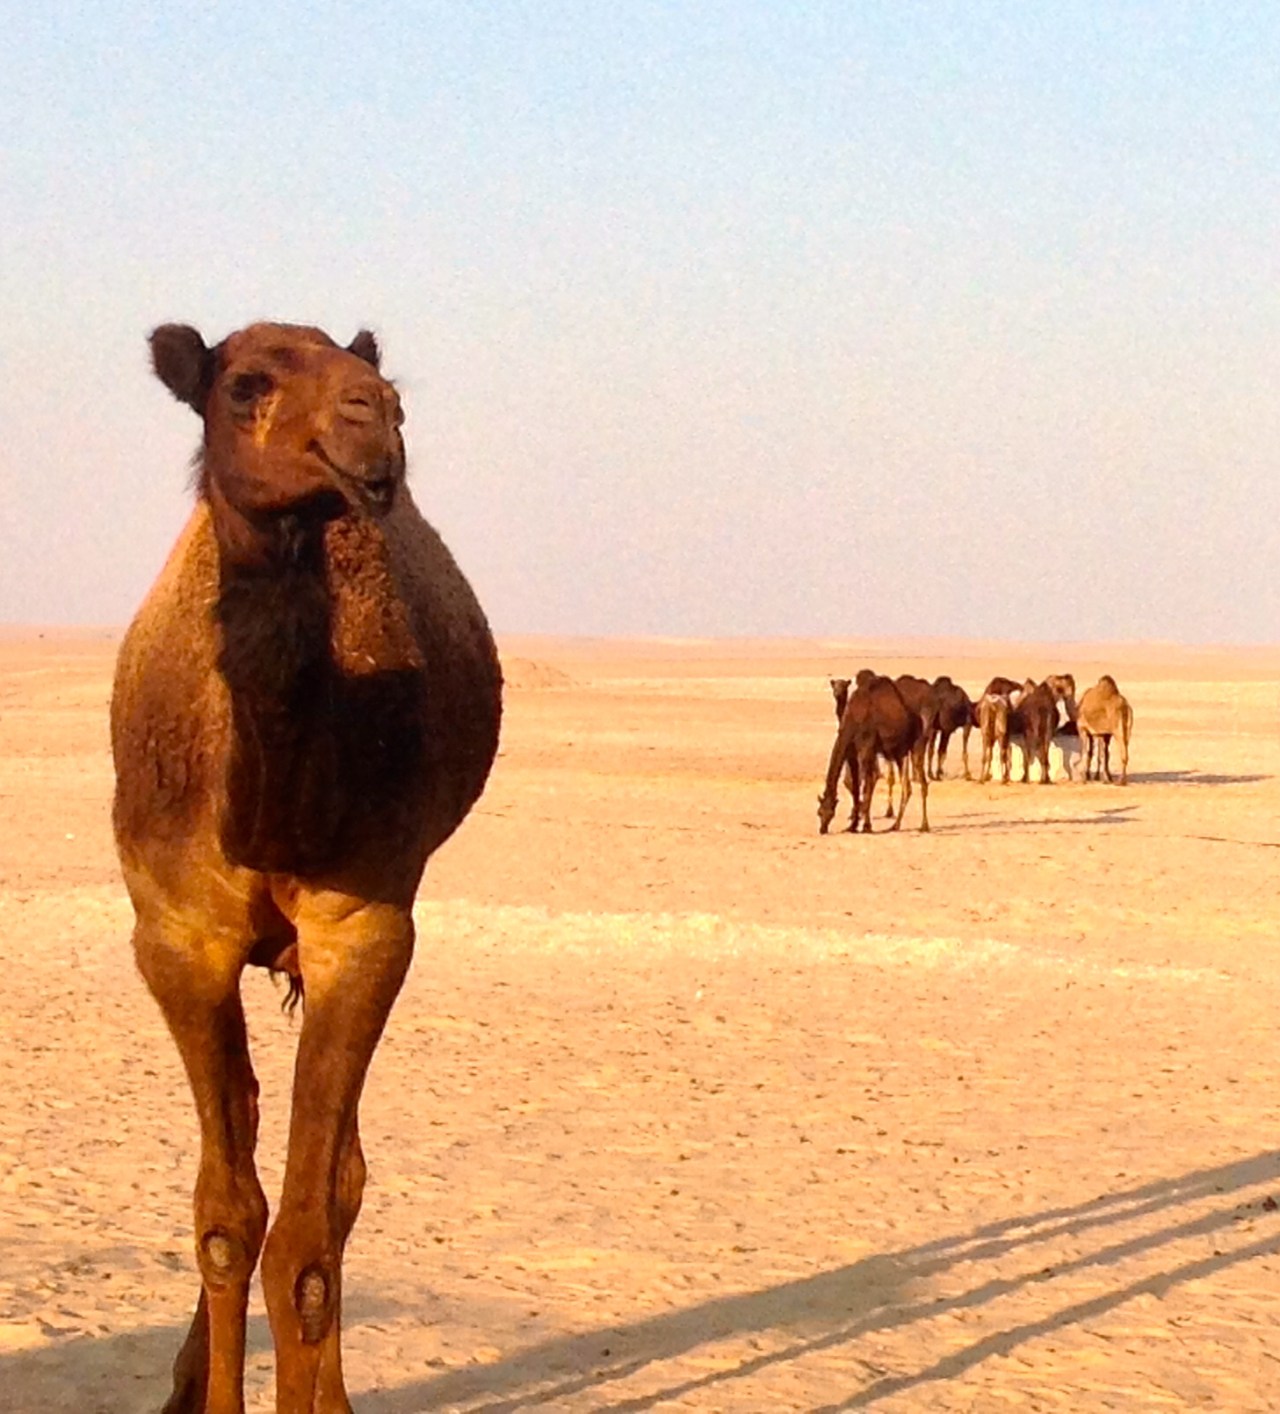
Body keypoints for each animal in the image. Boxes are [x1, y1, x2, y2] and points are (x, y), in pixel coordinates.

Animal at [111, 322, 503, 1414]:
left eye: (374, 380)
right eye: (245, 384)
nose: (377, 415)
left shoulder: (365, 928)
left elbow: (305, 1244)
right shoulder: (175, 939)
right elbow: (224, 1218)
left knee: (335, 1183)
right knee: (245, 1146)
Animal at [818, 674, 929, 834]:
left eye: (830, 812)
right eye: (819, 812)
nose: (822, 829)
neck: (853, 719)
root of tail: (920, 719)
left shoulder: (866, 749)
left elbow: (867, 786)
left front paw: (866, 826)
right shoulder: (852, 754)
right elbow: (856, 786)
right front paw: (852, 826)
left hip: (917, 745)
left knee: (923, 782)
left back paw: (924, 826)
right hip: (900, 754)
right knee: (907, 787)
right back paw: (895, 825)